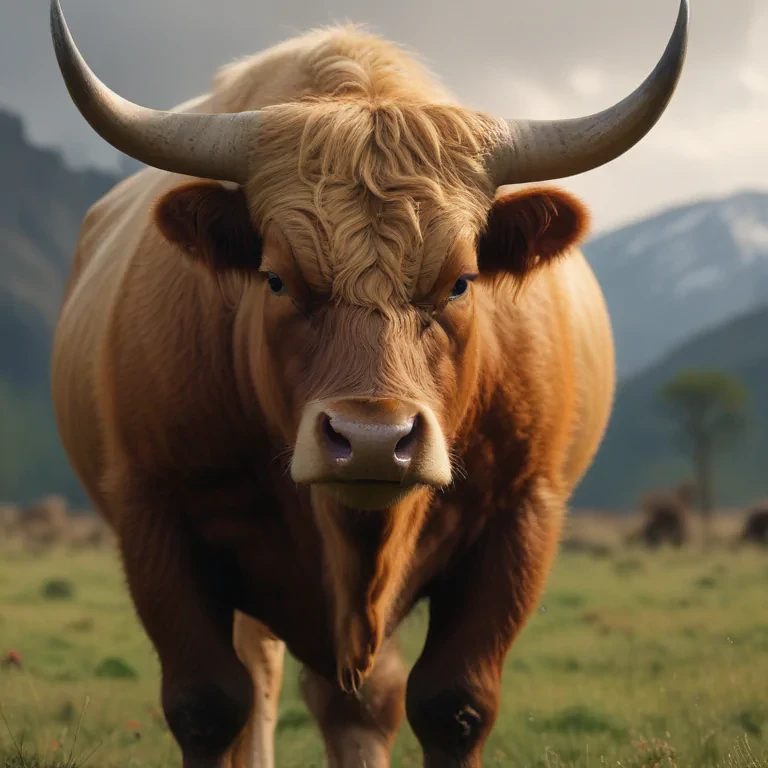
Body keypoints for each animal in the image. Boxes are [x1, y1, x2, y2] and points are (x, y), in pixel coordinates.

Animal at [48, 1, 688, 766]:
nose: (375, 440)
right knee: (262, 680)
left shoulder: (520, 517)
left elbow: (452, 704)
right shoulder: (155, 516)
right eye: (275, 279)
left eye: (461, 281)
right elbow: (208, 704)